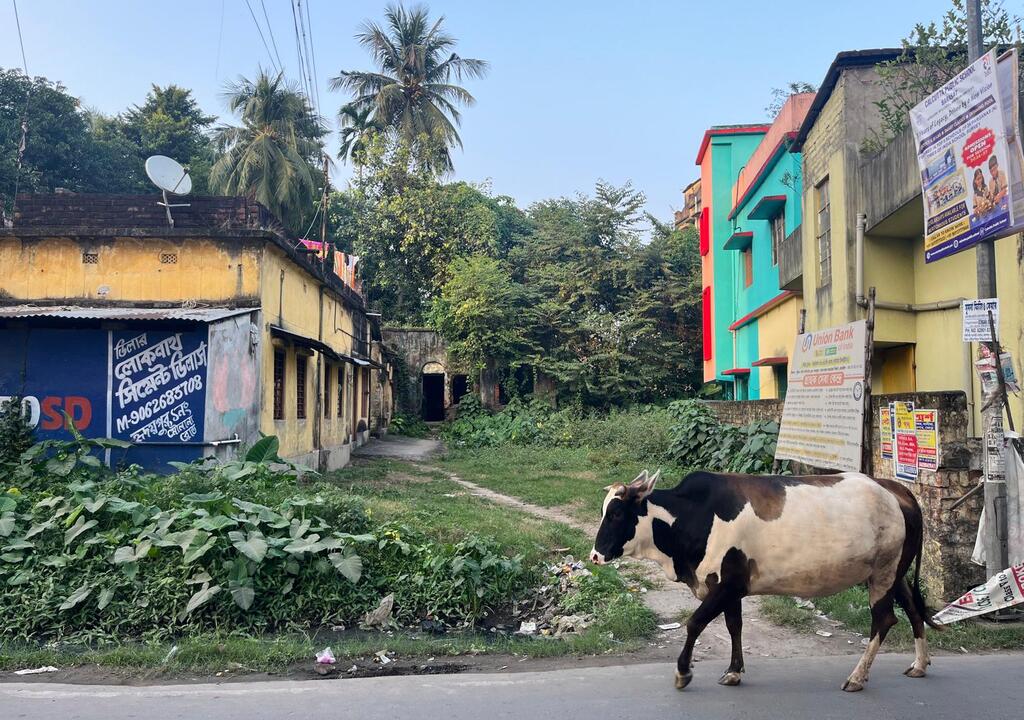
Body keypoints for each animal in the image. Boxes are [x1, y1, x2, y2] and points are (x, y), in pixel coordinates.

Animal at [589, 469, 941, 692]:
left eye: (617, 513)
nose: (595, 555)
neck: (694, 516)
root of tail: (895, 489)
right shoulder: (732, 589)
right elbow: (734, 626)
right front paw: (733, 672)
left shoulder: (726, 585)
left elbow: (694, 623)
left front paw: (683, 672)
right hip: (894, 573)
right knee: (912, 610)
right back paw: (920, 664)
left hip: (883, 573)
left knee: (883, 619)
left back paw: (856, 678)